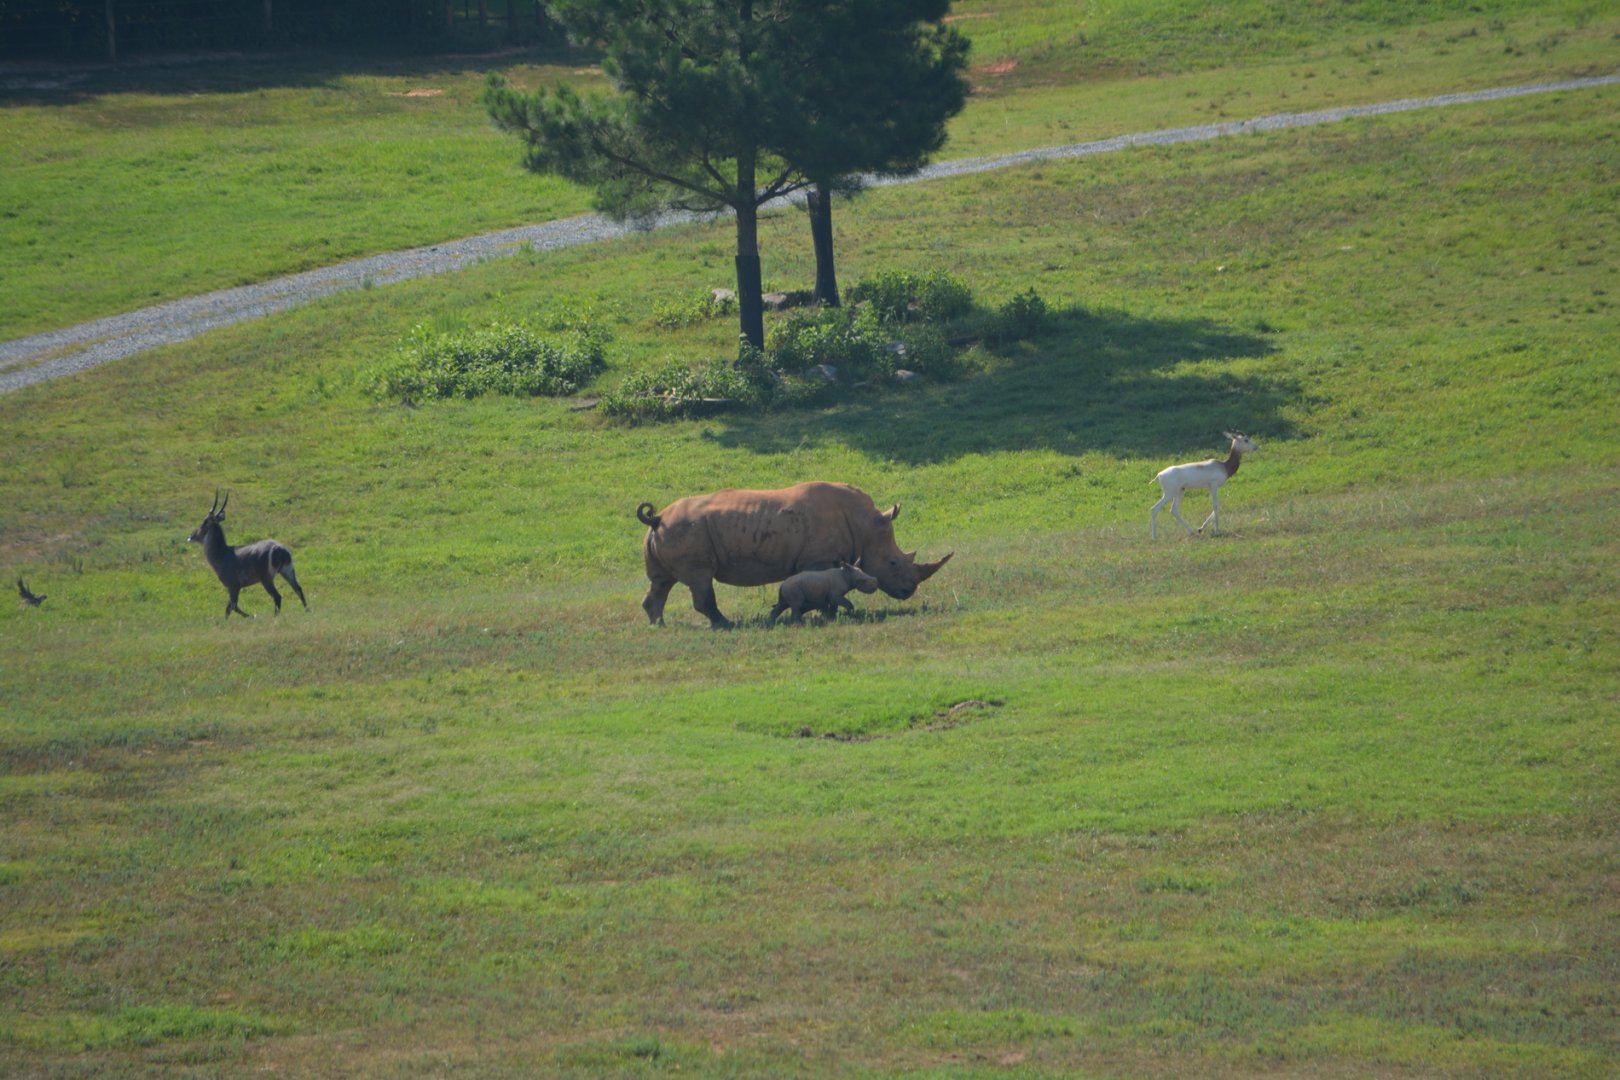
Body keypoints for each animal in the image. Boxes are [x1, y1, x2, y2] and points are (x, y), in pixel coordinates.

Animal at [636, 481, 953, 629]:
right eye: (893, 562)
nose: (908, 591)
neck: (865, 524)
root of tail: (658, 518)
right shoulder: (819, 559)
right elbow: (822, 585)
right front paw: (824, 615)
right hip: (685, 531)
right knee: (701, 580)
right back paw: (725, 625)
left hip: (667, 532)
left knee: (661, 582)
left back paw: (658, 625)